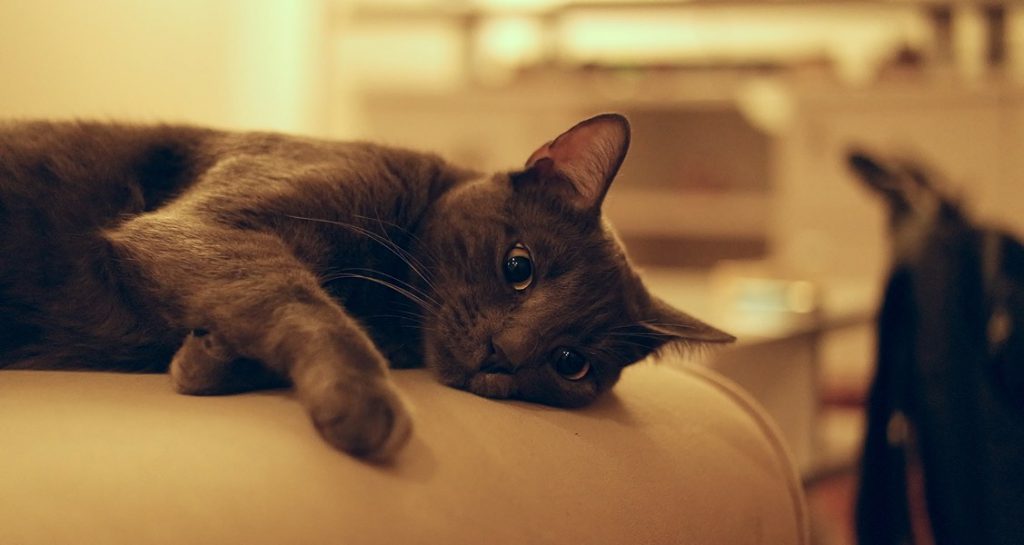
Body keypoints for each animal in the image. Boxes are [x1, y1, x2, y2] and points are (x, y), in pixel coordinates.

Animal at [0, 113, 737, 458]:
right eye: (518, 266)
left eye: (570, 363)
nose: (505, 352)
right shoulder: (203, 225)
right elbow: (302, 299)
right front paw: (364, 402)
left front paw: (204, 357)